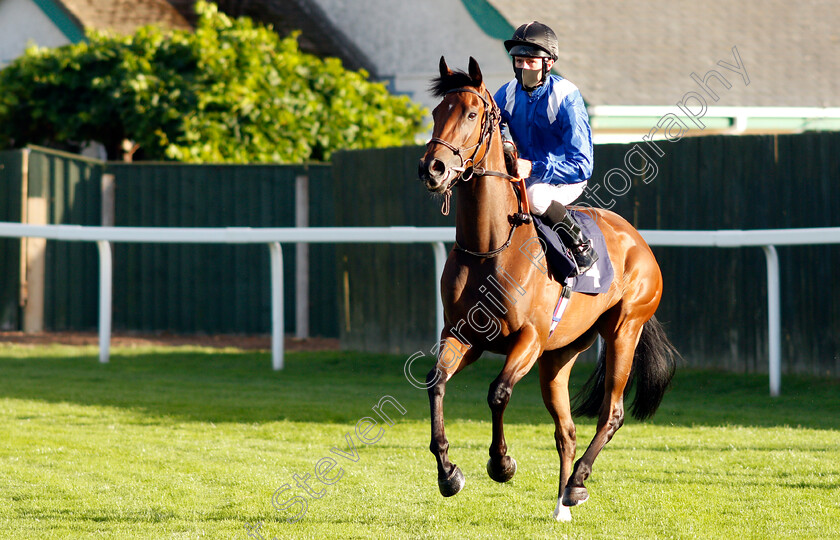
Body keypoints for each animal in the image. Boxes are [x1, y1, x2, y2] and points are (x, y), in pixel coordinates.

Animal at [416, 57, 680, 520]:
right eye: (436, 112)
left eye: (471, 113)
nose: (433, 168)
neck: (489, 247)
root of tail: (640, 243)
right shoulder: (464, 337)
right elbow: (436, 381)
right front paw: (448, 473)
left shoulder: (529, 339)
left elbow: (498, 392)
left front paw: (501, 463)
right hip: (559, 356)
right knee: (566, 429)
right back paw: (561, 506)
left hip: (623, 331)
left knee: (611, 413)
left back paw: (576, 484)